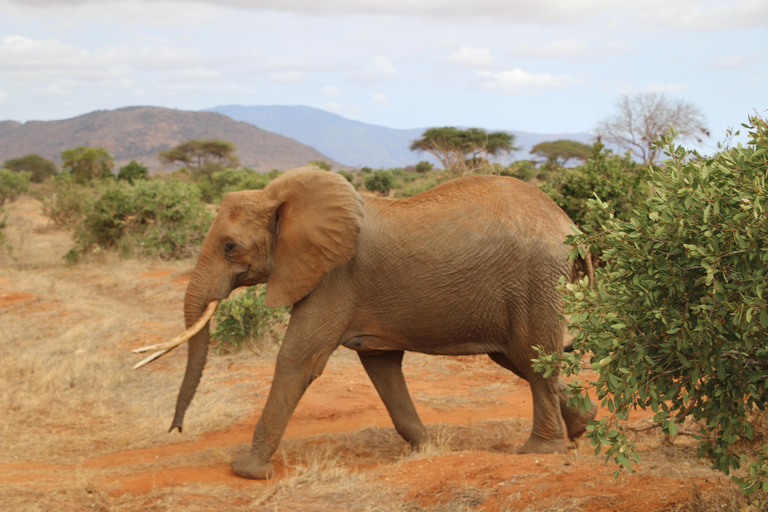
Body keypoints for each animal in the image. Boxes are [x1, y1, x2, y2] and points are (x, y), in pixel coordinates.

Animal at [162, 167, 596, 480]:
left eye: (229, 247)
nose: (175, 430)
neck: (283, 201)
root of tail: (571, 227)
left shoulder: (334, 278)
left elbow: (298, 360)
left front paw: (247, 471)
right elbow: (382, 367)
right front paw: (429, 449)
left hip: (537, 280)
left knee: (533, 360)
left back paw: (541, 451)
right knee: (521, 359)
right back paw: (582, 425)